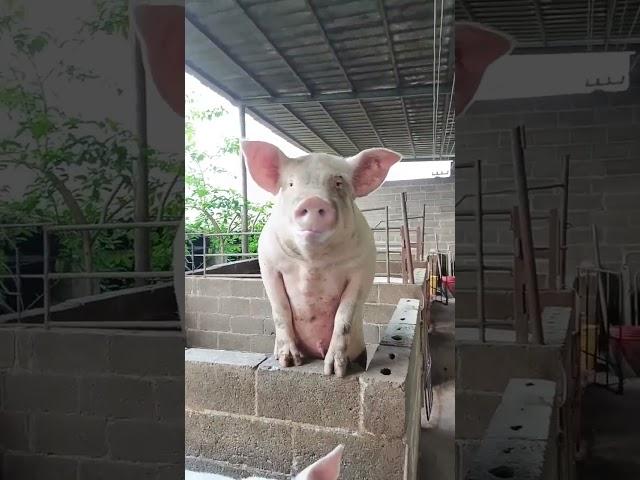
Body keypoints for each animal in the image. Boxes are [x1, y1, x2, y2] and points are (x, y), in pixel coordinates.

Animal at [242, 139, 402, 376]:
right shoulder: (269, 265)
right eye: (291, 184)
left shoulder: (363, 269)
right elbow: (280, 310)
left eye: (338, 182)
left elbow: (344, 316)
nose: (313, 200)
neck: (313, 262)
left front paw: (335, 371)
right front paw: (290, 362)